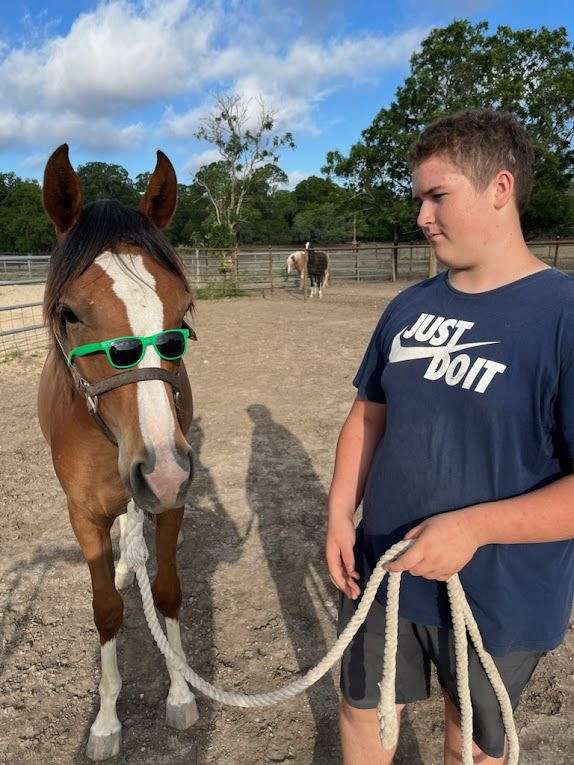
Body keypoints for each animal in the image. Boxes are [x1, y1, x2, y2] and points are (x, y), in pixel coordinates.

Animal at [37, 143, 198, 760]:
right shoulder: (83, 516)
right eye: (70, 313)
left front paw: (181, 693)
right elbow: (106, 611)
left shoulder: (173, 502)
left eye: (184, 312)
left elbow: (169, 593)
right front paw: (105, 722)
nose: (163, 469)